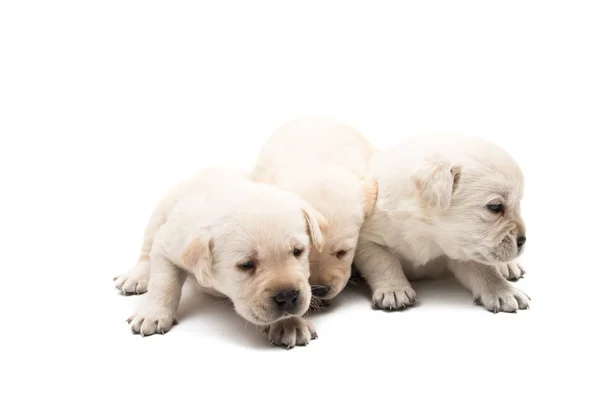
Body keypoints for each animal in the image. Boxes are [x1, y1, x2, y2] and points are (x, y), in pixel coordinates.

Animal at [114, 167, 326, 348]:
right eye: (246, 264)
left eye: (298, 251)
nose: (288, 296)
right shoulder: (166, 246)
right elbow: (164, 283)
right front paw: (153, 314)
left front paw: (290, 323)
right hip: (160, 213)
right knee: (146, 251)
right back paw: (135, 278)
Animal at [354, 134, 532, 312]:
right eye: (495, 206)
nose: (522, 241)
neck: (428, 233)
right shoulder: (368, 238)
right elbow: (382, 259)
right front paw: (394, 290)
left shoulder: (463, 247)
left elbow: (483, 268)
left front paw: (502, 291)